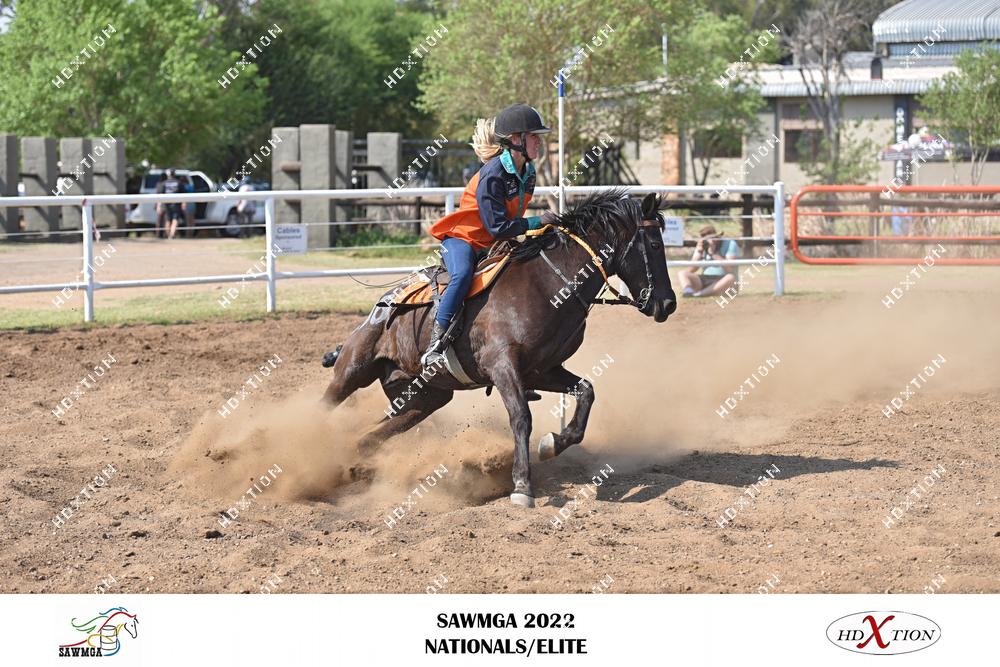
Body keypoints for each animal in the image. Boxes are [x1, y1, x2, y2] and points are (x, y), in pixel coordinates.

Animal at [321, 189, 676, 507]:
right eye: (655, 244)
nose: (668, 303)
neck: (549, 284)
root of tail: (380, 308)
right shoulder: (502, 365)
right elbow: (521, 417)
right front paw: (522, 486)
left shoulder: (542, 371)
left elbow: (586, 391)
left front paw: (552, 444)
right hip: (352, 371)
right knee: (326, 406)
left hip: (422, 398)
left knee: (370, 437)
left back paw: (359, 471)